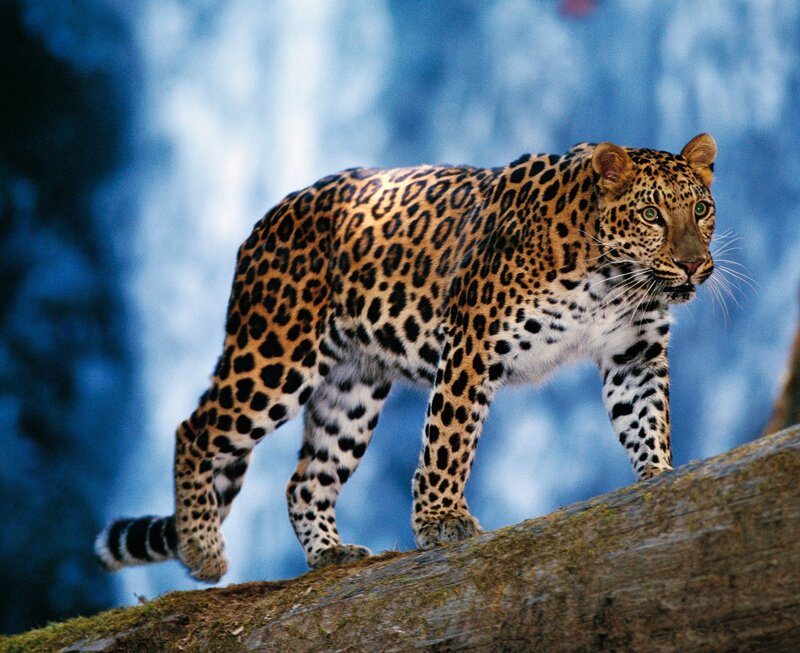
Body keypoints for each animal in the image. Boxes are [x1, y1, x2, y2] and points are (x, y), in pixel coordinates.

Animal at [96, 133, 717, 582]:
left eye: (703, 209)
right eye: (652, 215)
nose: (694, 266)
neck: (613, 278)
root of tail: (265, 221)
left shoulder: (635, 351)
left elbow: (647, 419)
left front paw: (659, 476)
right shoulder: (473, 340)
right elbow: (450, 437)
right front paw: (442, 521)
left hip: (351, 389)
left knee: (305, 479)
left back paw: (329, 553)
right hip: (275, 355)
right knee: (195, 429)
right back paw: (202, 548)